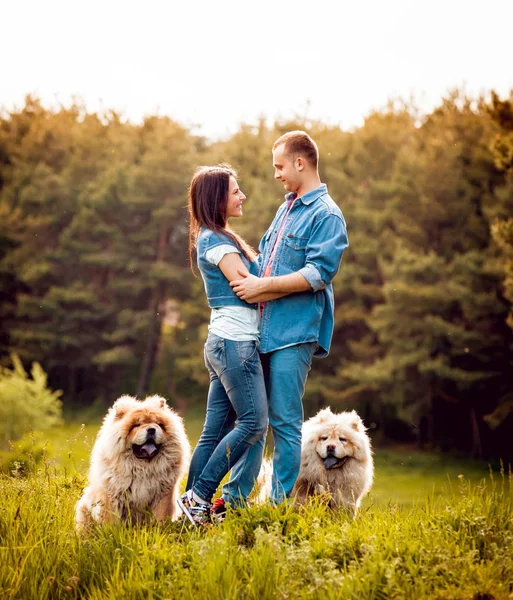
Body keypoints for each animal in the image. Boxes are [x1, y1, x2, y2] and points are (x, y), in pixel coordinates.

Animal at [75, 394, 189, 528]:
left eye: (158, 424)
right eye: (137, 425)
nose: (152, 429)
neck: (143, 468)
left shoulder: (163, 494)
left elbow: (160, 516)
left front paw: (159, 528)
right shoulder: (112, 494)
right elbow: (110, 518)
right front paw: (111, 531)